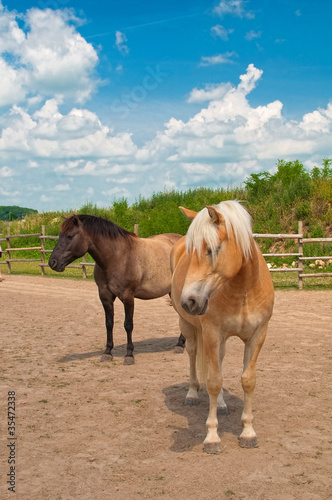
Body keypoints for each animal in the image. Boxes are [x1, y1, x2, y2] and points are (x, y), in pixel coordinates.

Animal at [49, 214, 185, 364]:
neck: (117, 257)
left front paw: (129, 355)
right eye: (60, 235)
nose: (53, 262)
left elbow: (128, 325)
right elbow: (109, 323)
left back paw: (180, 345)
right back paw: (181, 344)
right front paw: (107, 352)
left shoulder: (128, 296)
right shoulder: (105, 296)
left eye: (70, 236)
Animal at [170, 199, 274, 454]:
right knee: (193, 355)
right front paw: (212, 437)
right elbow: (214, 382)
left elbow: (248, 380)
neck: (243, 291)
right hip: (187, 326)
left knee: (218, 361)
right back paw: (192, 393)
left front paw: (248, 433)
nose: (189, 301)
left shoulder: (258, 335)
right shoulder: (211, 334)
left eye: (212, 249)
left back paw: (222, 404)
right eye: (191, 251)